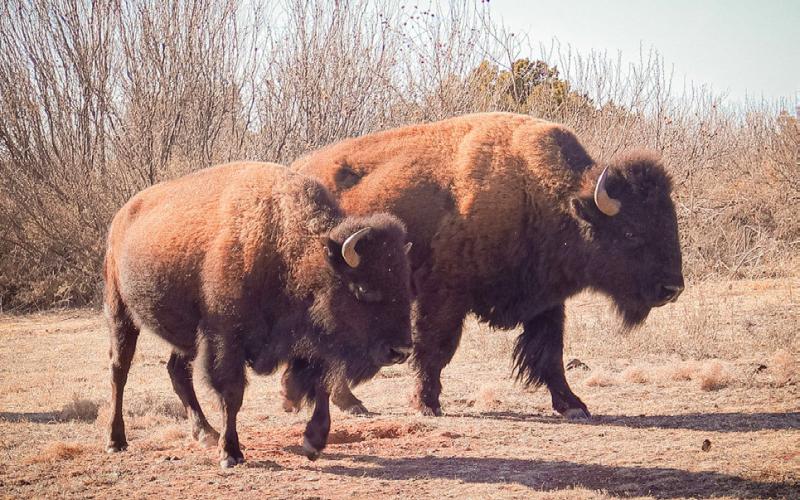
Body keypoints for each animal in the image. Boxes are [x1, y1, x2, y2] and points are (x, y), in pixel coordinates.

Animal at [103, 162, 413, 467]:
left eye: (404, 285)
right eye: (363, 288)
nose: (401, 350)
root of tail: (120, 217)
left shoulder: (312, 346)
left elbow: (320, 386)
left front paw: (313, 442)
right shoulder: (226, 339)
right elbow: (232, 393)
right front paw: (231, 453)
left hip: (186, 338)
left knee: (177, 372)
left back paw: (206, 434)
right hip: (121, 313)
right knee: (119, 371)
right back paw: (116, 441)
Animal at [288, 112, 684, 418]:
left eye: (670, 221)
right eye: (631, 231)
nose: (672, 288)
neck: (542, 194)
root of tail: (297, 170)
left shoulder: (546, 301)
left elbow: (550, 354)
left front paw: (573, 405)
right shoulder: (444, 295)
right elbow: (435, 348)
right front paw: (426, 404)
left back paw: (346, 402)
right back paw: (349, 402)